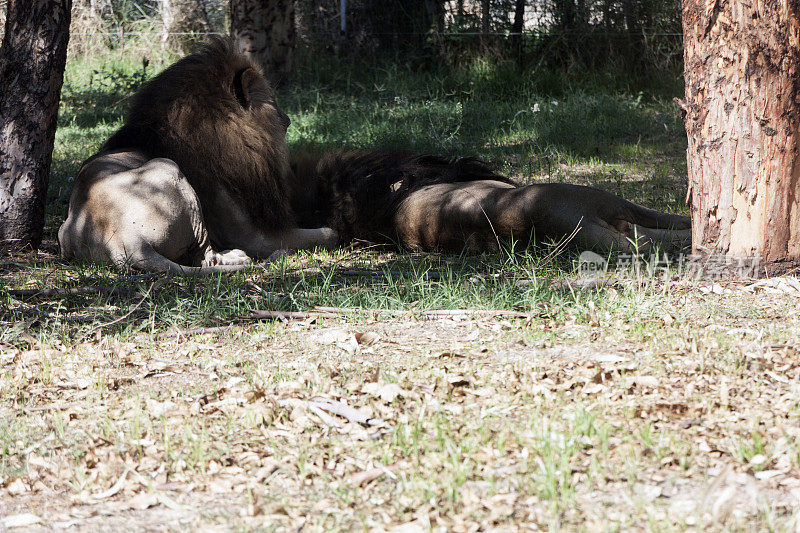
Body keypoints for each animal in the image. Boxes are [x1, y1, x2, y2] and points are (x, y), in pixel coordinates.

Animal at [58, 38, 334, 274]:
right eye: (273, 100)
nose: (288, 120)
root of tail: (125, 242)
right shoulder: (253, 235)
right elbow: (328, 233)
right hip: (168, 169)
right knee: (206, 256)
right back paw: (240, 257)